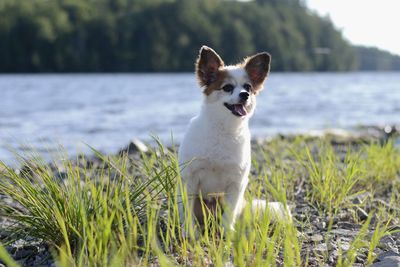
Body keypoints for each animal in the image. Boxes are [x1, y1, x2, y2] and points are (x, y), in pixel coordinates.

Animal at [178, 46, 288, 237]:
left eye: (248, 87)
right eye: (227, 88)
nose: (245, 95)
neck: (224, 128)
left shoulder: (236, 183)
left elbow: (229, 213)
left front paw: (227, 232)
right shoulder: (190, 179)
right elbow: (188, 210)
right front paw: (190, 233)